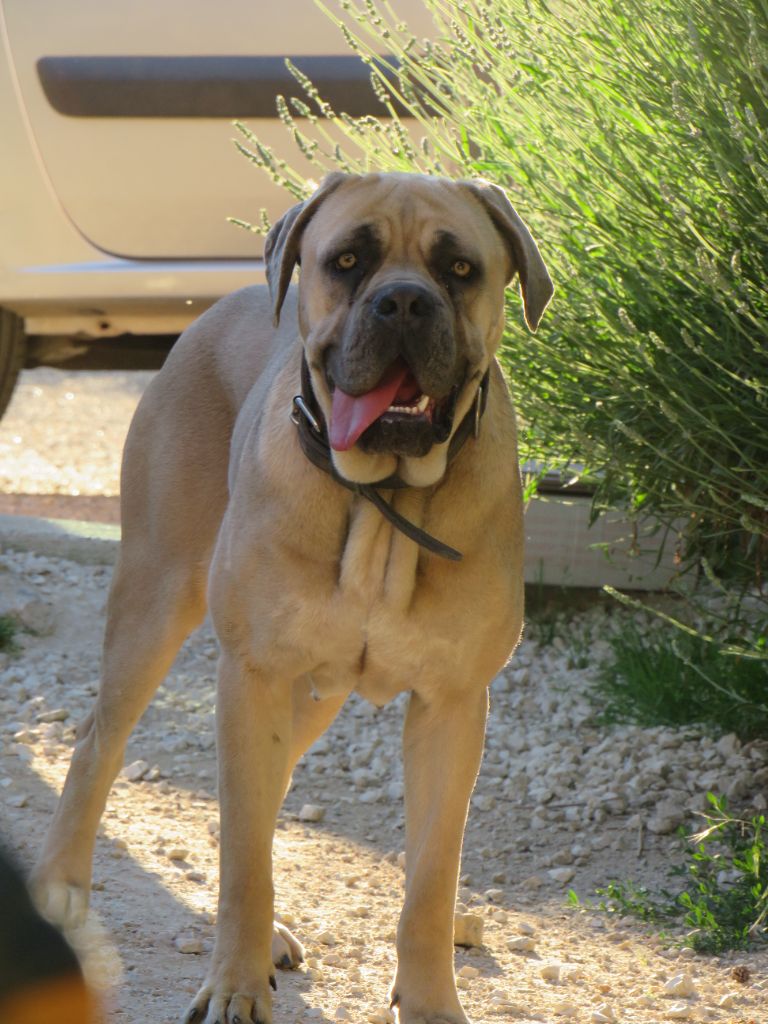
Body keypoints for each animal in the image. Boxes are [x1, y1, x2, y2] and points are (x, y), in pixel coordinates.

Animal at [33, 172, 552, 1019]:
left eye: (460, 269)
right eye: (347, 260)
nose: (403, 302)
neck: (382, 503)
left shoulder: (452, 706)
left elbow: (431, 883)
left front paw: (430, 1000)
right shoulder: (254, 676)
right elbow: (246, 862)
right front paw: (235, 986)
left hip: (312, 695)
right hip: (156, 602)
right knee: (97, 745)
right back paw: (62, 891)